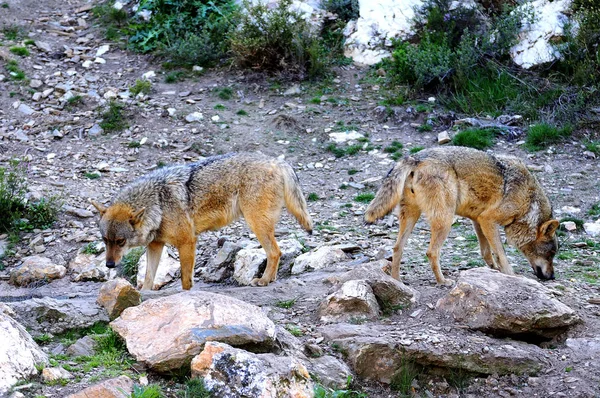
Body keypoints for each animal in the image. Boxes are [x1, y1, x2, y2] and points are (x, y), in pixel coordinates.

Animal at [91, 152, 314, 290]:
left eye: (121, 242)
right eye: (105, 240)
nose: (109, 265)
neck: (158, 203)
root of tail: (276, 161)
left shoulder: (187, 242)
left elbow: (186, 281)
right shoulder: (155, 245)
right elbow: (148, 277)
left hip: (256, 224)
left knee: (275, 252)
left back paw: (264, 280)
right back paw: (271, 279)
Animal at [364, 146, 560, 286]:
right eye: (551, 254)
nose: (552, 277)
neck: (529, 202)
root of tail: (415, 158)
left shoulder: (478, 220)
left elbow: (487, 252)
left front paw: (494, 270)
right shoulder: (488, 220)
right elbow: (501, 254)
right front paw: (510, 275)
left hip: (412, 217)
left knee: (397, 248)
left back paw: (397, 282)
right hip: (445, 221)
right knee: (431, 252)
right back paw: (443, 281)